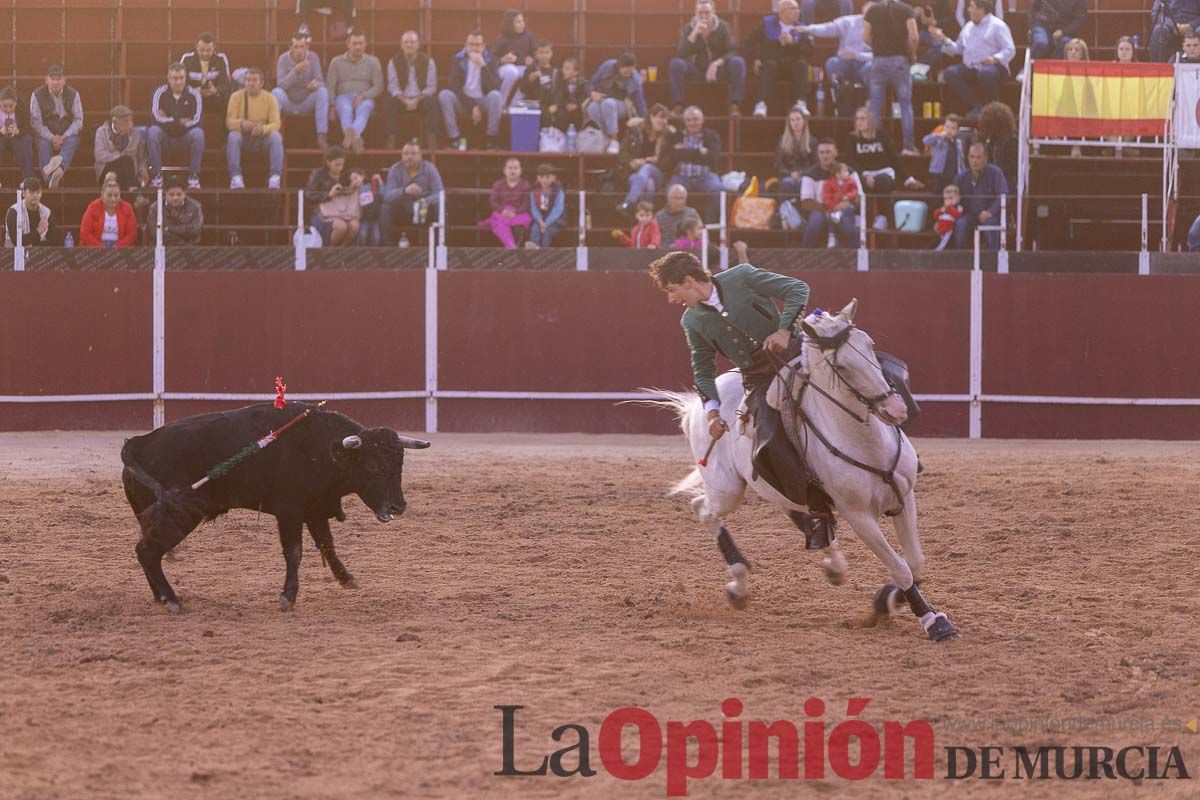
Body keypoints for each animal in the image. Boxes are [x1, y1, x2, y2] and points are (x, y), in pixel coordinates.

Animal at [120, 402, 432, 609]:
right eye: (373, 466)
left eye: (400, 465)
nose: (398, 506)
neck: (323, 448)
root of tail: (138, 442)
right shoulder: (290, 512)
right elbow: (294, 552)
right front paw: (287, 597)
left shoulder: (315, 509)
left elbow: (327, 545)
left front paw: (348, 580)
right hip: (180, 514)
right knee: (147, 551)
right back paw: (172, 599)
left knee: (146, 551)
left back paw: (161, 597)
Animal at [657, 299, 955, 642]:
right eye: (841, 367)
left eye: (870, 344)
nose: (895, 409)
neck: (866, 442)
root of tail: (704, 403)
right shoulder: (858, 515)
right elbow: (901, 567)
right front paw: (933, 621)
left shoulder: (905, 497)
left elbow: (915, 561)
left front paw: (887, 601)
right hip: (726, 488)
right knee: (704, 509)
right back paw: (739, 585)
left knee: (795, 510)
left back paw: (833, 564)